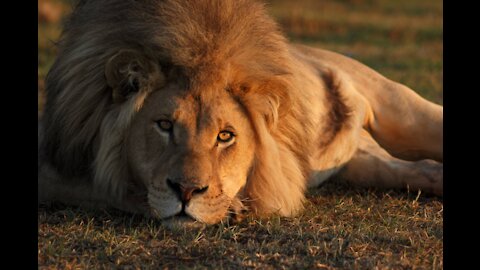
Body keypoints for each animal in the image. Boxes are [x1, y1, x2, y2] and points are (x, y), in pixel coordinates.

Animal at [37, 0, 442, 228]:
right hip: (361, 163)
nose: (187, 191)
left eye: (225, 136)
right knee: (413, 168)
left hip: (400, 106)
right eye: (164, 125)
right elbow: (104, 189)